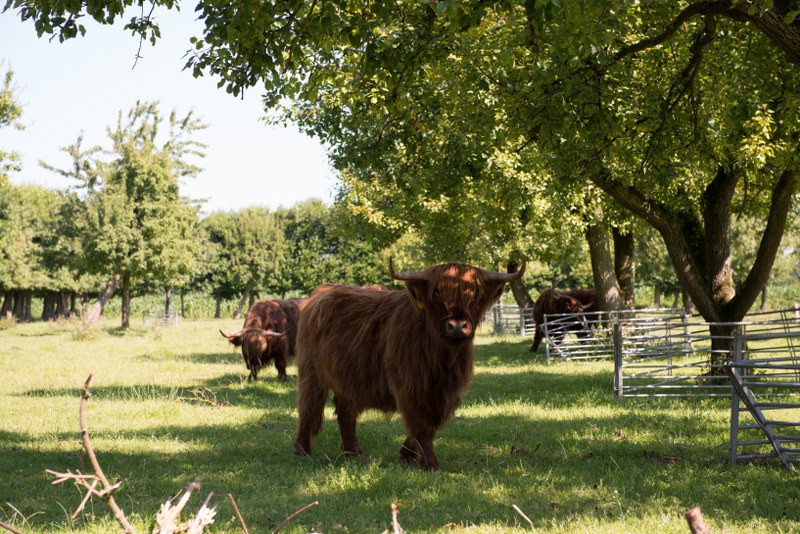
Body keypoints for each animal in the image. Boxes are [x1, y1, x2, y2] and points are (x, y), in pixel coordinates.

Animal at [292, 262, 524, 472]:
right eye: (437, 293)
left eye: (475, 293)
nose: (457, 326)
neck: (443, 358)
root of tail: (321, 292)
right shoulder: (411, 385)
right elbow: (421, 424)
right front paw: (430, 464)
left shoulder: (447, 392)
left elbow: (432, 423)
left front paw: (407, 456)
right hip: (311, 373)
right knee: (309, 408)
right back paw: (302, 450)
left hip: (347, 376)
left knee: (345, 410)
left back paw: (352, 451)